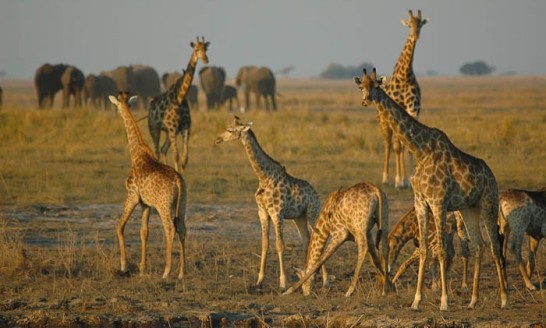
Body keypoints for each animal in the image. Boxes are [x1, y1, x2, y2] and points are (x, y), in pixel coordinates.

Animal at [108, 91, 187, 280]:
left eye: (116, 105)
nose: (116, 113)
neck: (137, 153)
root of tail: (178, 181)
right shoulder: (146, 204)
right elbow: (144, 232)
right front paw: (142, 269)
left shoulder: (132, 196)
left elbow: (119, 226)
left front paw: (124, 265)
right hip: (182, 203)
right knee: (182, 228)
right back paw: (181, 272)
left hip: (164, 205)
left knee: (170, 228)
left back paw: (166, 271)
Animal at [148, 37, 209, 173]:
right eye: (196, 49)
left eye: (205, 49)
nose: (205, 59)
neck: (179, 99)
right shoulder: (172, 128)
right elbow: (175, 156)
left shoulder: (185, 127)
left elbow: (184, 159)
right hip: (154, 128)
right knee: (156, 152)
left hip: (168, 132)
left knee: (163, 149)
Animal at [214, 116, 324, 290]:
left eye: (230, 130)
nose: (218, 139)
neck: (264, 177)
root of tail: (316, 193)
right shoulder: (263, 213)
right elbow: (264, 243)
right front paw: (259, 280)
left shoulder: (277, 213)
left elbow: (280, 244)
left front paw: (283, 282)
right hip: (299, 217)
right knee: (306, 239)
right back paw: (306, 273)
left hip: (313, 213)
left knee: (319, 237)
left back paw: (325, 281)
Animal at [352, 67, 506, 310]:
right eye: (361, 86)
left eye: (377, 86)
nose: (366, 100)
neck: (420, 151)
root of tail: (491, 174)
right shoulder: (421, 202)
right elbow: (424, 250)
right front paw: (416, 301)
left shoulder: (439, 202)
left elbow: (441, 250)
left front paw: (444, 301)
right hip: (469, 208)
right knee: (478, 246)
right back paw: (473, 300)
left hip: (489, 203)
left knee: (494, 246)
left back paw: (504, 299)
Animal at [378, 9, 424, 188]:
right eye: (409, 25)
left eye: (420, 25)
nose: (416, 35)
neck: (405, 75)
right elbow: (397, 146)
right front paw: (399, 180)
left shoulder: (413, 111)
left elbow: (409, 144)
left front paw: (409, 178)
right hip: (383, 121)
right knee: (388, 144)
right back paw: (386, 178)